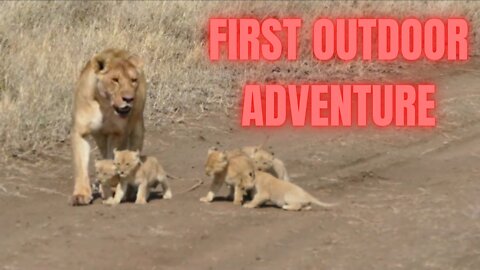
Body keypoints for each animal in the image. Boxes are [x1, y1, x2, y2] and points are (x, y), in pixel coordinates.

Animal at [70, 48, 146, 206]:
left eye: (133, 80)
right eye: (115, 80)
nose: (129, 99)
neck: (104, 104)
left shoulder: (117, 133)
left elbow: (113, 159)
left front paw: (112, 186)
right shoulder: (80, 132)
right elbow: (80, 165)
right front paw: (81, 194)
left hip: (137, 127)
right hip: (100, 137)